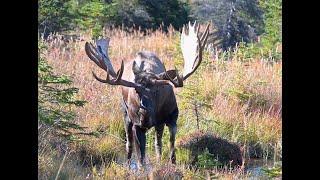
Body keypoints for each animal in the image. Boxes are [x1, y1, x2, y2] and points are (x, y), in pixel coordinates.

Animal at [84, 21, 210, 169]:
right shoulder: (137, 125)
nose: (144, 115)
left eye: (156, 91)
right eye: (137, 91)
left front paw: (170, 163)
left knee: (156, 143)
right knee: (129, 144)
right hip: (126, 115)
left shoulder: (171, 117)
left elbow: (168, 145)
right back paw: (128, 165)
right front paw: (142, 169)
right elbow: (140, 156)